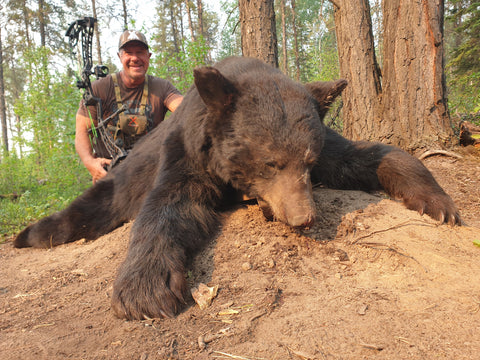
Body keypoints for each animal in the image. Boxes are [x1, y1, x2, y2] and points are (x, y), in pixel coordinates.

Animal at [13, 57, 460, 320]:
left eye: (308, 161)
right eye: (270, 161)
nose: (303, 217)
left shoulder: (326, 150)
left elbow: (367, 155)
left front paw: (437, 201)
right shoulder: (190, 152)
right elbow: (169, 206)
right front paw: (145, 290)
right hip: (118, 180)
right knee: (88, 209)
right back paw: (29, 234)